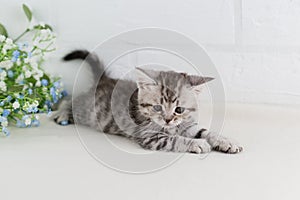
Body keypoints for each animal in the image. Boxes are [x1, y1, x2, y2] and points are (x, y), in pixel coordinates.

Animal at [52, 50, 243, 153]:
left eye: (179, 110)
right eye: (157, 107)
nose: (167, 120)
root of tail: (104, 79)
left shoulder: (187, 124)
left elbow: (204, 131)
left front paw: (226, 141)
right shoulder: (149, 135)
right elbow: (175, 140)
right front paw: (197, 144)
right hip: (86, 110)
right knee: (70, 98)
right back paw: (62, 112)